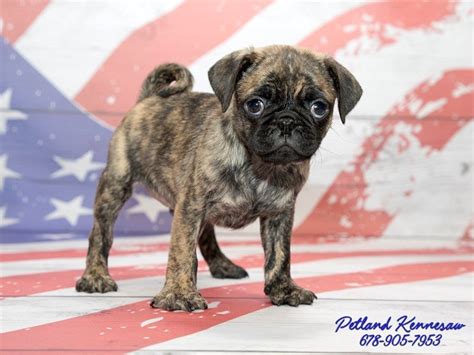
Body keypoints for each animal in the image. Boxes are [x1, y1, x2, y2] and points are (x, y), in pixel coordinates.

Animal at [76, 44, 362, 312]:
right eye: (255, 105)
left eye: (319, 108)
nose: (287, 122)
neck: (259, 165)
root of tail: (148, 98)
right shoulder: (190, 207)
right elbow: (181, 250)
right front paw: (178, 293)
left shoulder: (279, 214)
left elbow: (280, 255)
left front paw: (284, 288)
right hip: (116, 186)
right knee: (100, 233)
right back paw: (95, 276)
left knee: (206, 236)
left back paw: (222, 265)